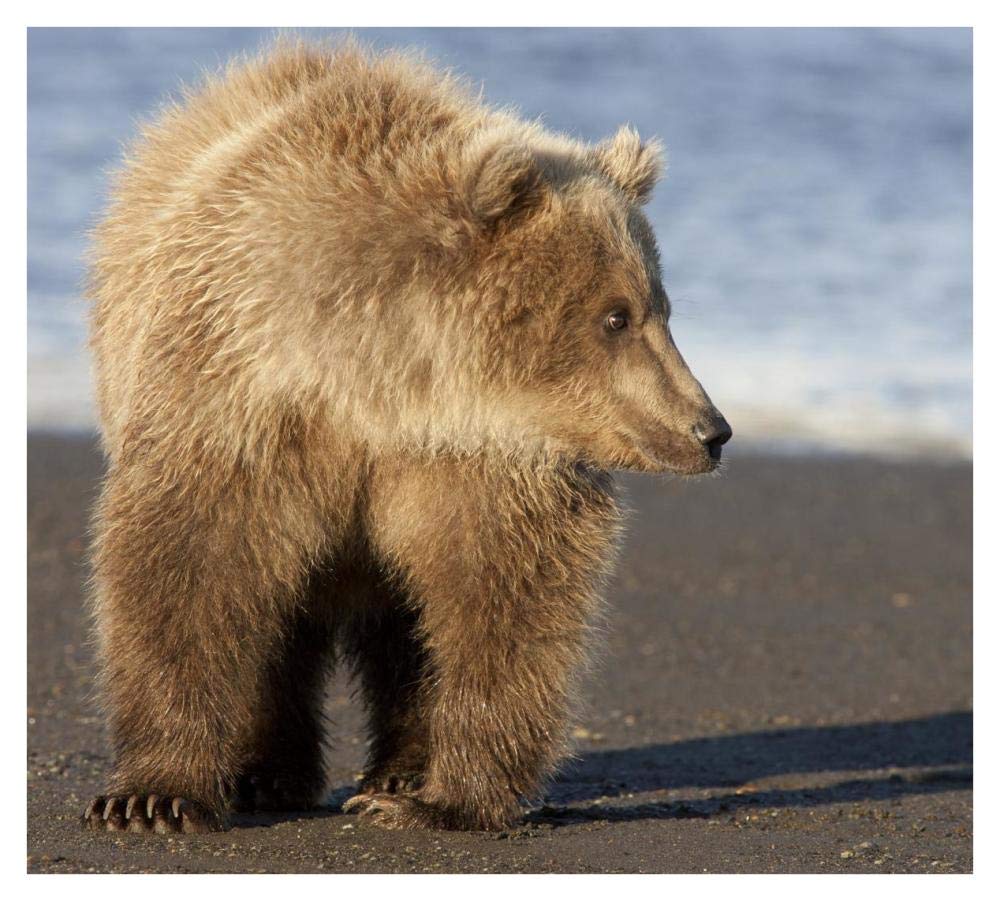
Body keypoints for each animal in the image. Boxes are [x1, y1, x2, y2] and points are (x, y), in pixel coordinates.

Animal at [82, 38, 731, 834]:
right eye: (618, 315)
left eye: (660, 306)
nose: (710, 429)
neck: (382, 381)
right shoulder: (238, 398)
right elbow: (189, 563)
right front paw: (152, 795)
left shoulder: (477, 458)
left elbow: (504, 600)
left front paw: (440, 798)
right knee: (280, 616)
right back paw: (265, 773)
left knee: (404, 623)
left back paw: (394, 773)